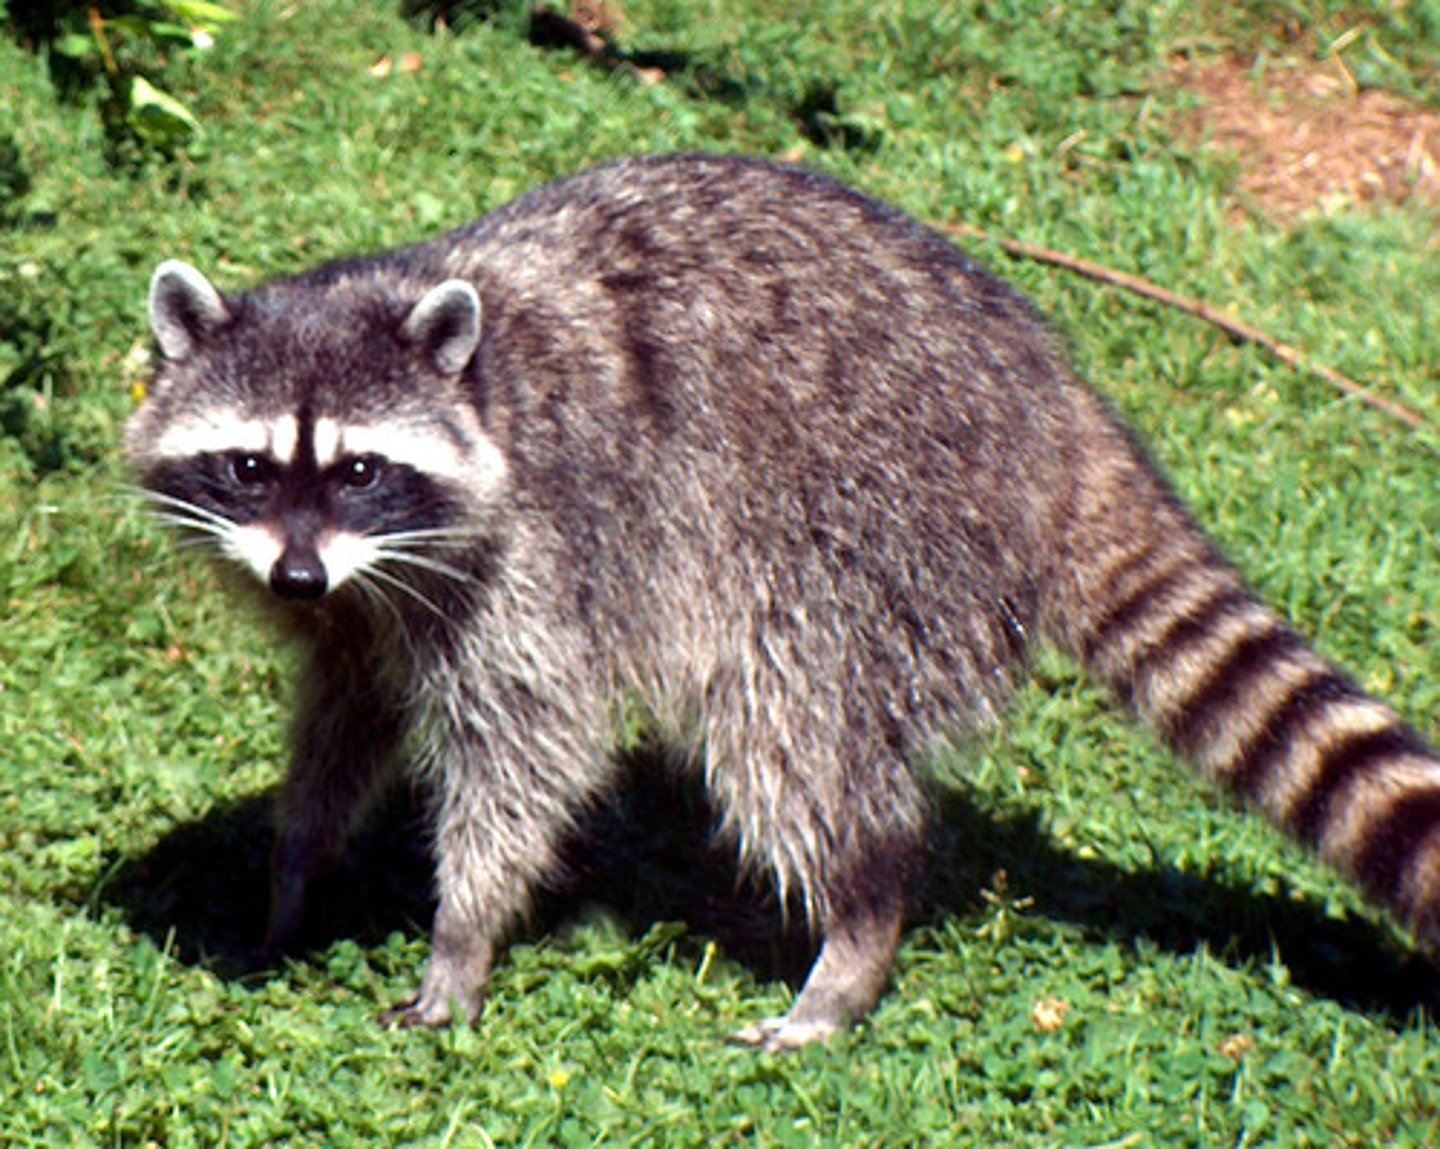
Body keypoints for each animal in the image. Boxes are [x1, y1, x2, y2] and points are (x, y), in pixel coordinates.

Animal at [126, 153, 1440, 1050]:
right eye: (248, 467)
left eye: (358, 468)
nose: (295, 574)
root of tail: (1060, 411)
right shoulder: (361, 606)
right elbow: (347, 716)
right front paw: (295, 868)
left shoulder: (539, 557)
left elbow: (530, 749)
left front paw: (463, 937)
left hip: (865, 533)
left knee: (786, 734)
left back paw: (857, 929)